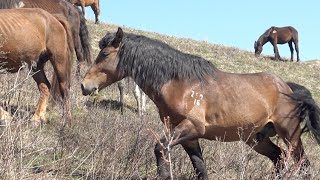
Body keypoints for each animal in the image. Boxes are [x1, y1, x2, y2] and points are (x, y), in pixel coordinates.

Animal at [80, 27, 320, 179]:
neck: (180, 84)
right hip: (256, 139)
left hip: (290, 136)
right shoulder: (188, 137)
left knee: (303, 165)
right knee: (279, 159)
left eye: (104, 53)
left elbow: (160, 149)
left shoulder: (192, 127)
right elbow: (200, 168)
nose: (84, 85)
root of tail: (288, 89)